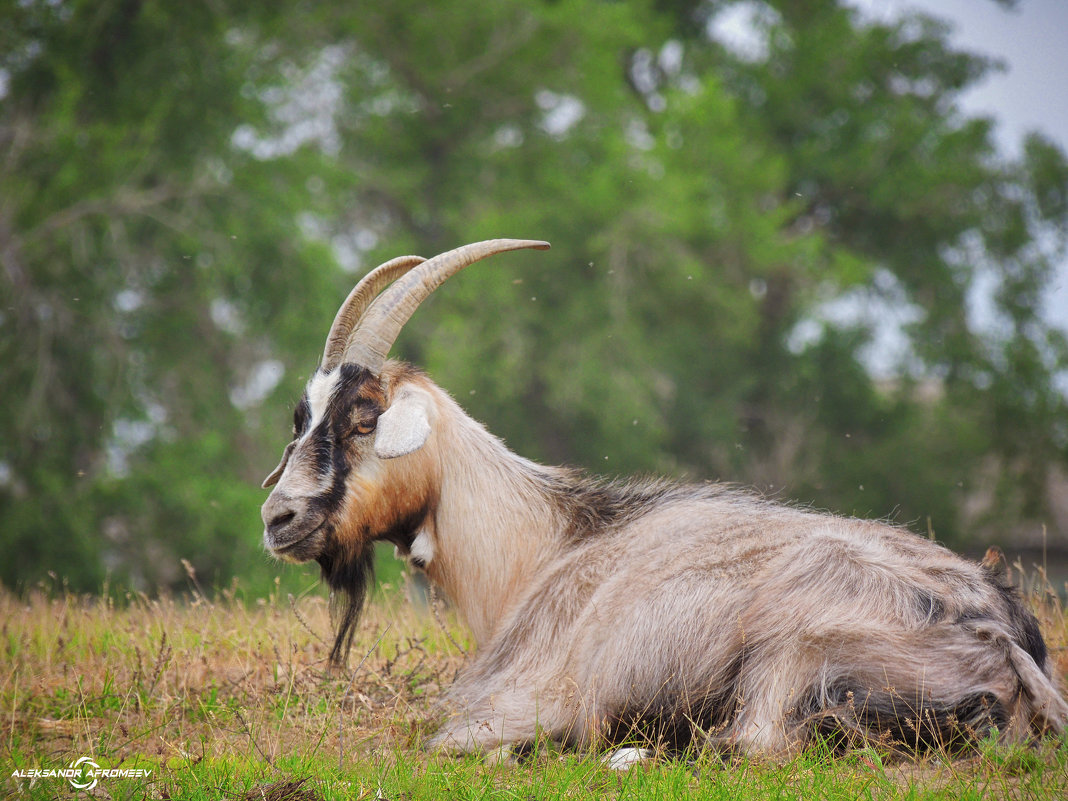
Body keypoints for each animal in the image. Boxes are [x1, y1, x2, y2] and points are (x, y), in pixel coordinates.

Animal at [260, 238, 1068, 760]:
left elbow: (455, 741)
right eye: (301, 417)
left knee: (749, 747)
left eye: (364, 419)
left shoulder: (512, 701)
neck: (550, 542)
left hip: (790, 656)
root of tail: (1004, 638)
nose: (279, 518)